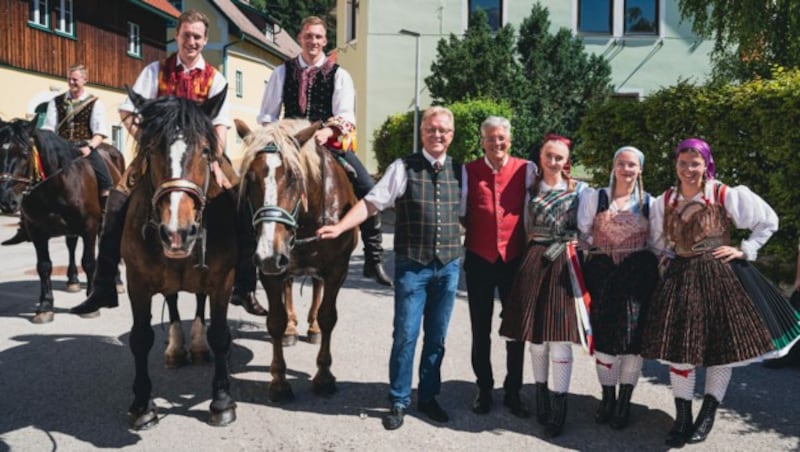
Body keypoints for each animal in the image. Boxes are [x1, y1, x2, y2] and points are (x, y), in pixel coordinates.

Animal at [0, 116, 125, 322]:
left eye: (25, 153)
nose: (6, 201)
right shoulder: (37, 230)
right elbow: (44, 266)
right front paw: (45, 306)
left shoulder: (89, 226)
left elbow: (88, 262)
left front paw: (90, 303)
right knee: (71, 245)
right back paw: (72, 280)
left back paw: (117, 281)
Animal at [120, 89, 236, 430]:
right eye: (150, 149)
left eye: (206, 150)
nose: (177, 233)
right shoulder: (137, 281)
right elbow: (140, 338)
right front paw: (142, 405)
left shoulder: (222, 279)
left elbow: (220, 334)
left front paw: (222, 401)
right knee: (172, 301)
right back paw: (176, 348)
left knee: (197, 301)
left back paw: (196, 345)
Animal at [236, 118, 358, 400]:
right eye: (250, 178)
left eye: (294, 177)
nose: (269, 254)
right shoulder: (271, 271)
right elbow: (276, 320)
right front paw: (279, 381)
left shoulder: (337, 270)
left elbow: (327, 316)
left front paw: (324, 376)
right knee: (290, 288)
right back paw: (292, 329)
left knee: (316, 289)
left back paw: (312, 329)